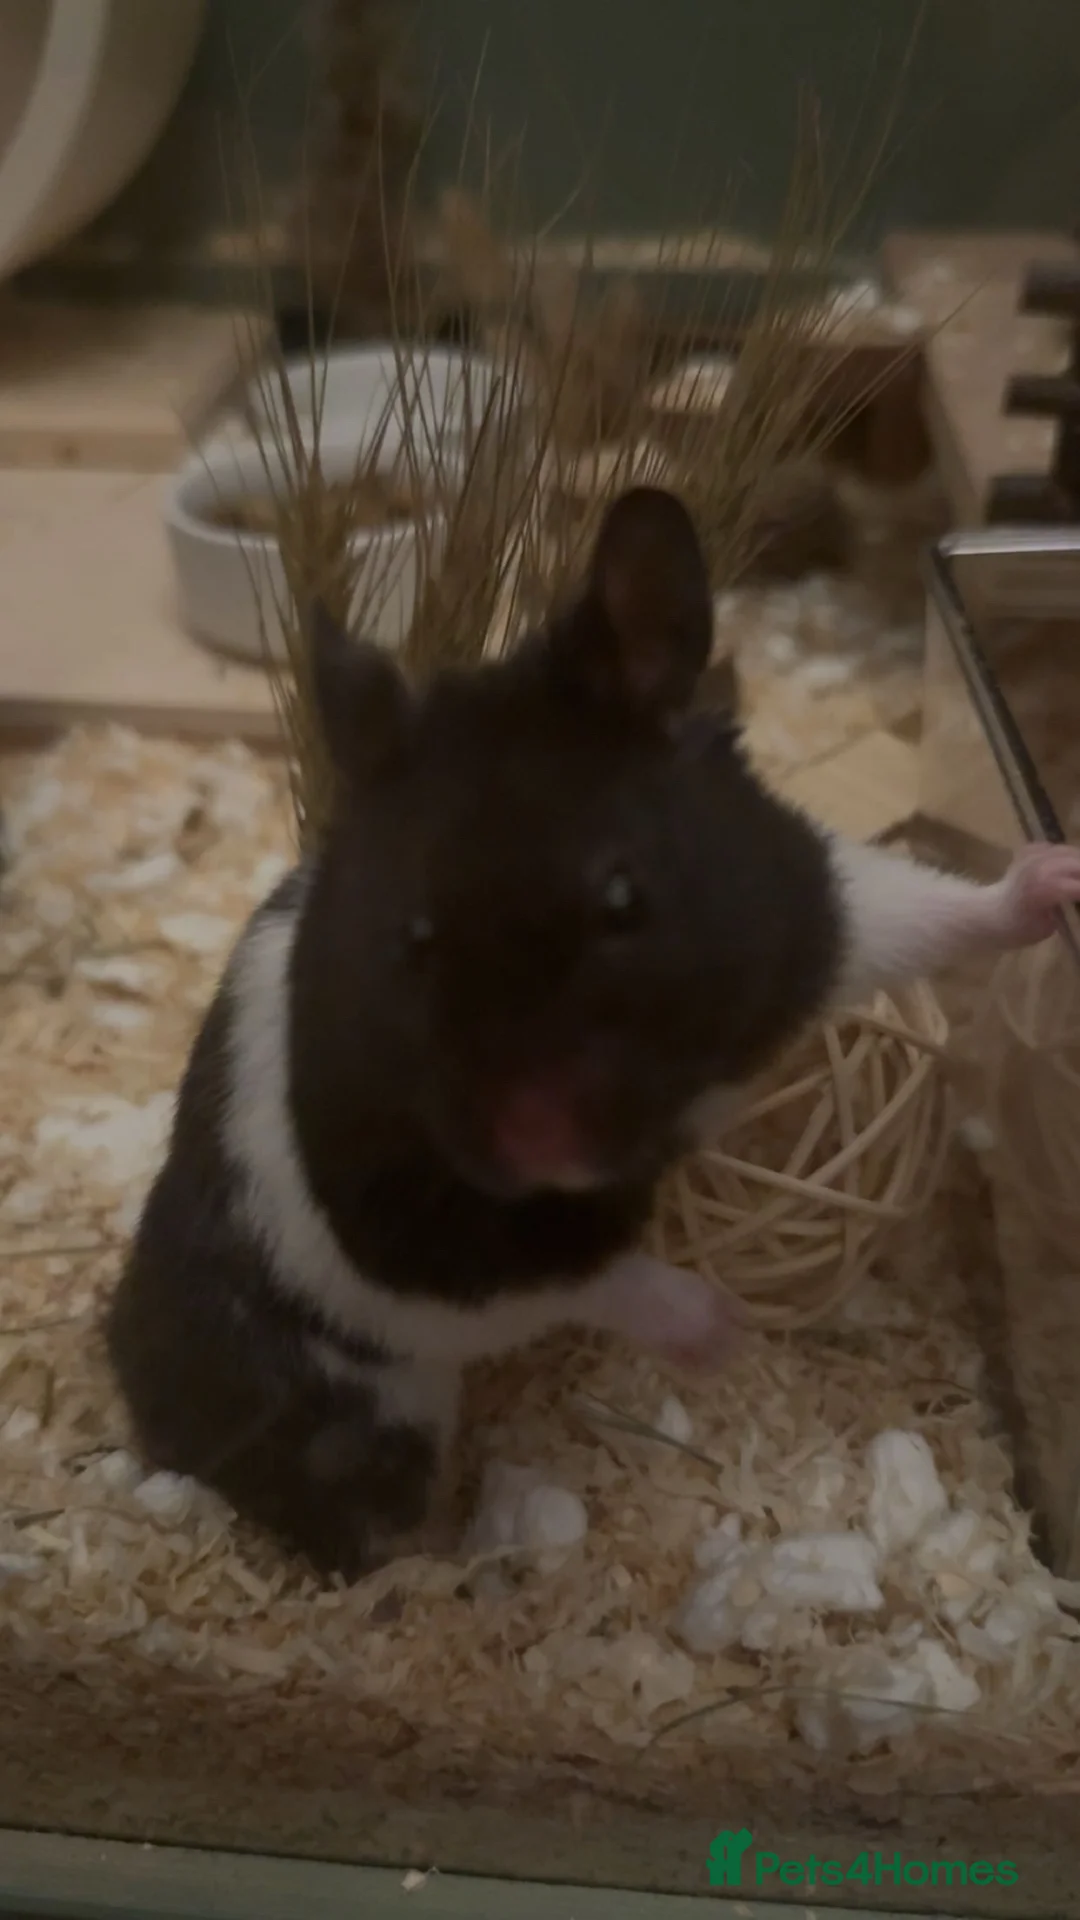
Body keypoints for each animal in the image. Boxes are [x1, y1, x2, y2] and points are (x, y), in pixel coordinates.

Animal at [104, 486, 1080, 1581]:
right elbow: (585, 1278)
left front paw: (1060, 877)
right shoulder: (414, 1245)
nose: (538, 1143)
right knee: (351, 1518)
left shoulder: (810, 910)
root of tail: (133, 1361)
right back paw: (436, 1570)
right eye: (412, 937)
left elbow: (917, 909)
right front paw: (722, 1336)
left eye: (624, 899)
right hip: (361, 1423)